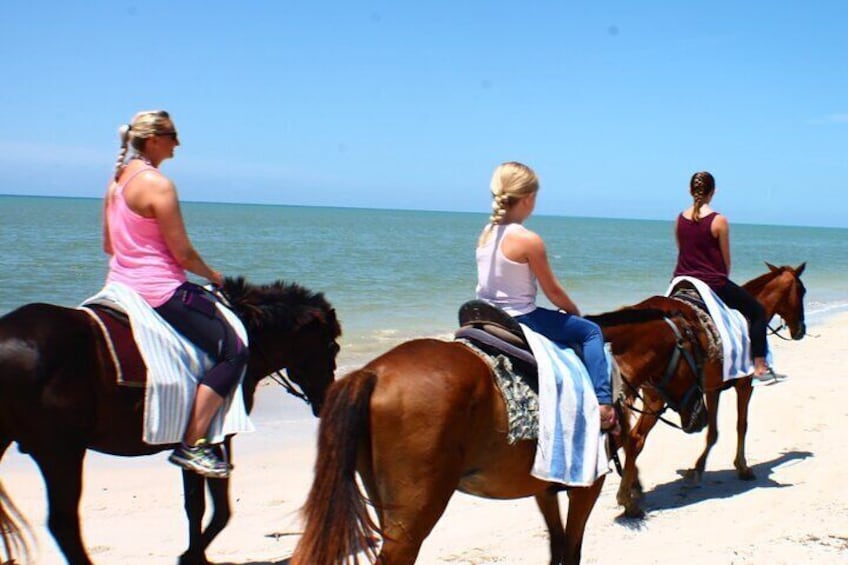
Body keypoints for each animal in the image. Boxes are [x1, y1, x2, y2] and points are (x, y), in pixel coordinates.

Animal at [1, 278, 344, 564]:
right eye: (333, 347)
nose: (326, 399)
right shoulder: (218, 439)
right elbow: (218, 510)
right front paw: (192, 556)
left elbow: (195, 507)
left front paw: (194, 555)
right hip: (61, 453)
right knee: (64, 524)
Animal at [294, 304, 708, 564]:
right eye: (700, 356)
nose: (701, 416)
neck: (607, 365)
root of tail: (373, 373)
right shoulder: (587, 486)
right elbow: (572, 550)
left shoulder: (545, 487)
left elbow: (558, 549)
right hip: (413, 517)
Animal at [600, 262, 804, 516]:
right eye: (802, 291)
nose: (801, 329)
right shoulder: (744, 385)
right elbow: (741, 425)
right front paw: (742, 467)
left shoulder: (712, 389)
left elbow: (713, 431)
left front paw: (697, 469)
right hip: (657, 397)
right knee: (635, 438)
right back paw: (627, 497)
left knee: (627, 437)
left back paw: (633, 487)